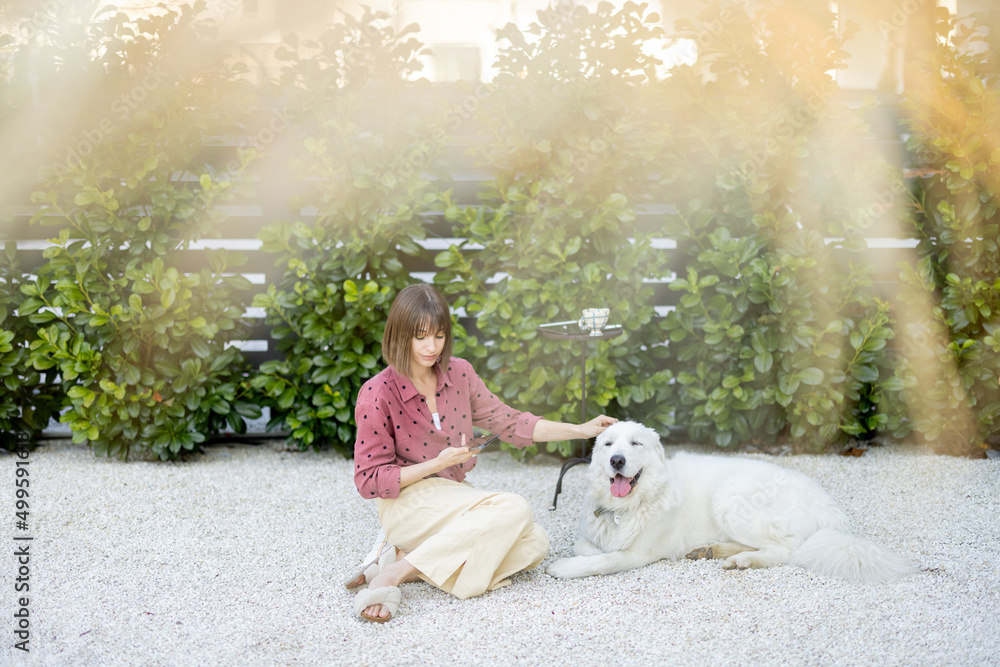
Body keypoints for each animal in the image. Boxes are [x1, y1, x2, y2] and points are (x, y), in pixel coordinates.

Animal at [552, 422, 916, 584]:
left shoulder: (639, 554)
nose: (616, 460)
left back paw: (742, 561)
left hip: (729, 497)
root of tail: (831, 511)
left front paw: (565, 568)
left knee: (787, 550)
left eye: (635, 444)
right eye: (608, 444)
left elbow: (604, 560)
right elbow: (586, 547)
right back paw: (714, 551)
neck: (625, 508)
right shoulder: (589, 536)